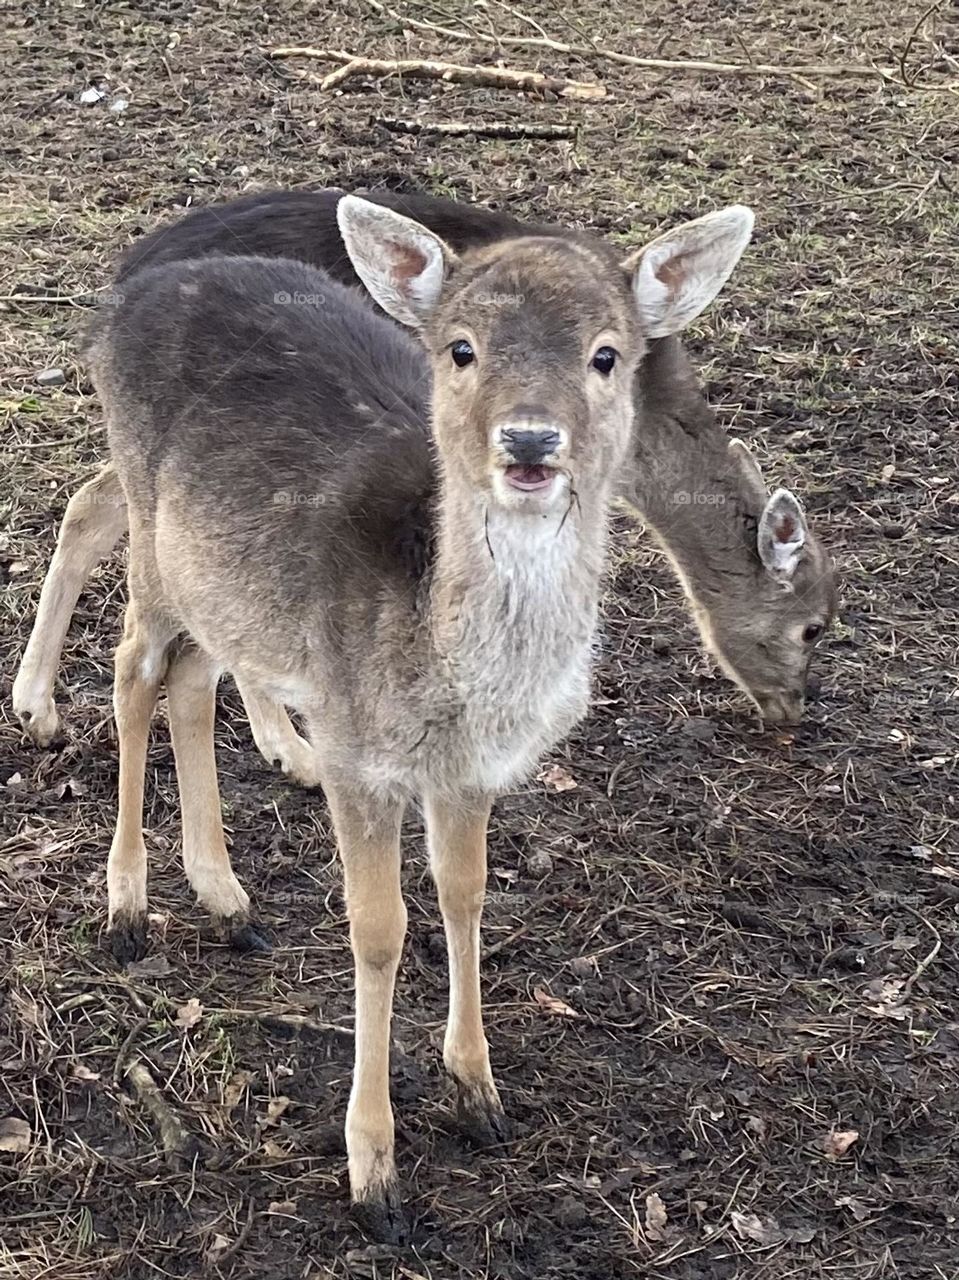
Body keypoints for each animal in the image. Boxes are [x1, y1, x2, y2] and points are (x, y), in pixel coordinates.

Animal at [87, 195, 755, 1235]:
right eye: (460, 349)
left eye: (607, 354)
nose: (529, 441)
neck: (454, 685)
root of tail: (127, 293)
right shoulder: (355, 749)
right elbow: (379, 928)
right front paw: (374, 1172)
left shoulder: (474, 770)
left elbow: (464, 894)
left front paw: (477, 1094)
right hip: (150, 536)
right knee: (132, 669)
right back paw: (125, 906)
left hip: (220, 581)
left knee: (193, 678)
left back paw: (227, 899)